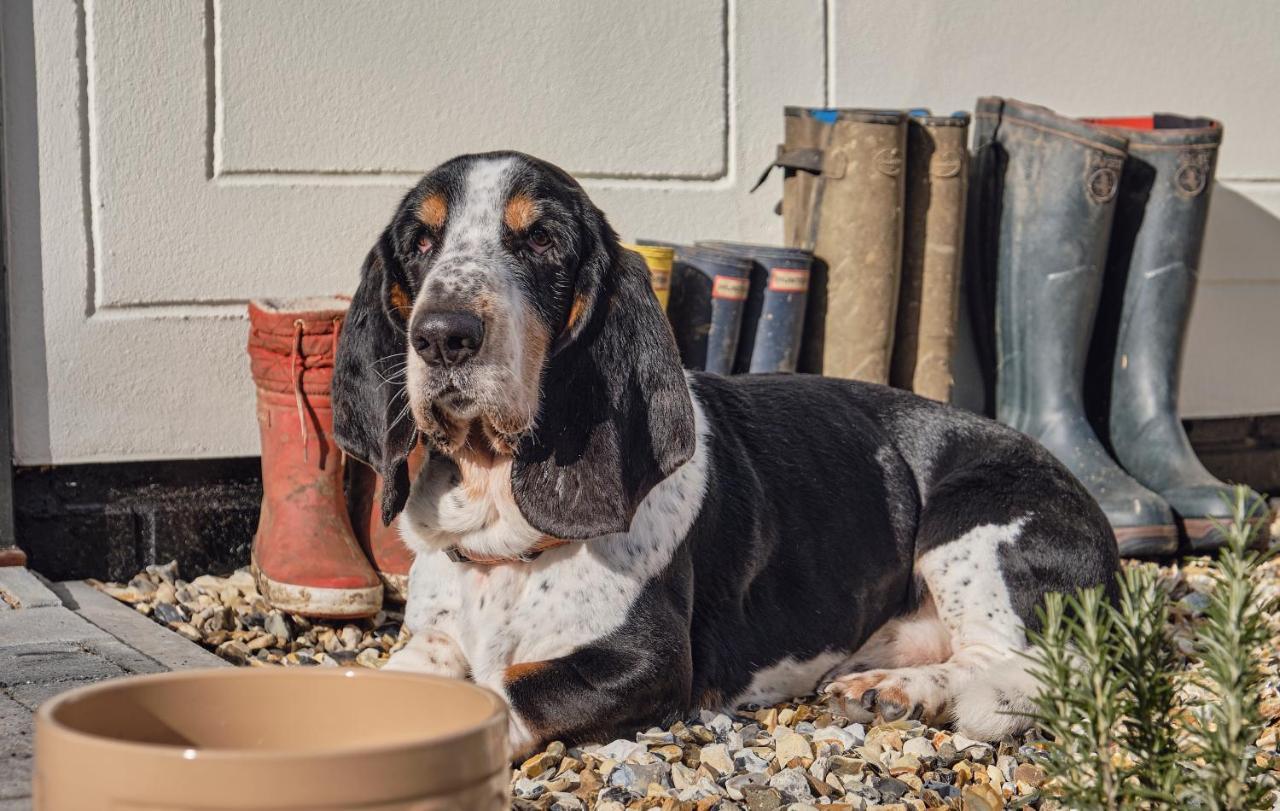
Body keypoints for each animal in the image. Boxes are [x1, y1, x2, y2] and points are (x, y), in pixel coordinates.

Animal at [332, 150, 1121, 752]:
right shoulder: (432, 640)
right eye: (420, 242)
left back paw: (902, 690)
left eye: (544, 241)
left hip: (972, 526)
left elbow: (511, 689)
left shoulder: (642, 662)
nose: (442, 334)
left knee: (1016, 666)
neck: (502, 537)